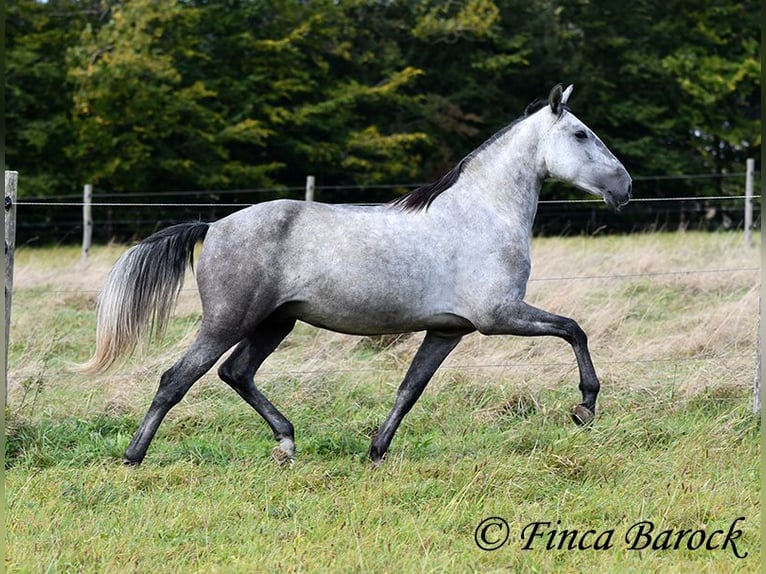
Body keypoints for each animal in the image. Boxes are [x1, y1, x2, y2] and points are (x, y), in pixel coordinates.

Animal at [85, 83, 636, 466]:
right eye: (581, 134)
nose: (625, 187)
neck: (482, 213)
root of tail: (214, 225)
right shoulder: (498, 316)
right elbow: (574, 330)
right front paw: (585, 407)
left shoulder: (448, 330)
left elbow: (409, 389)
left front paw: (376, 450)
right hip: (228, 321)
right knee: (176, 379)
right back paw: (133, 457)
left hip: (276, 322)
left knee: (235, 372)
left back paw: (286, 443)